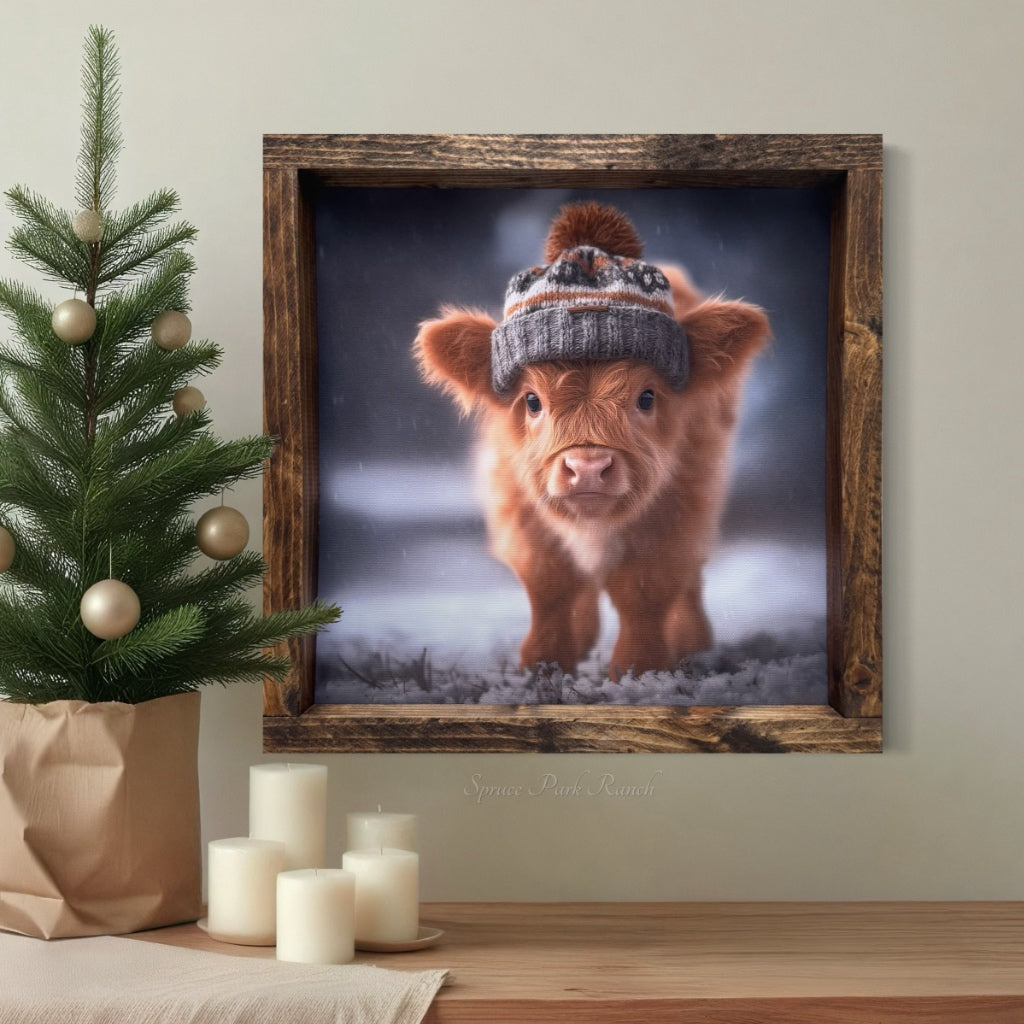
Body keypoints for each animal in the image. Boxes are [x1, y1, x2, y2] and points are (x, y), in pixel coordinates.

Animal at [414, 202, 769, 680]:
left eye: (646, 396)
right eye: (532, 400)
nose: (587, 468)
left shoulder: (678, 508)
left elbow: (645, 587)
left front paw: (640, 669)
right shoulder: (520, 508)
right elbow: (551, 586)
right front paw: (544, 664)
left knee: (690, 577)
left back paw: (691, 641)